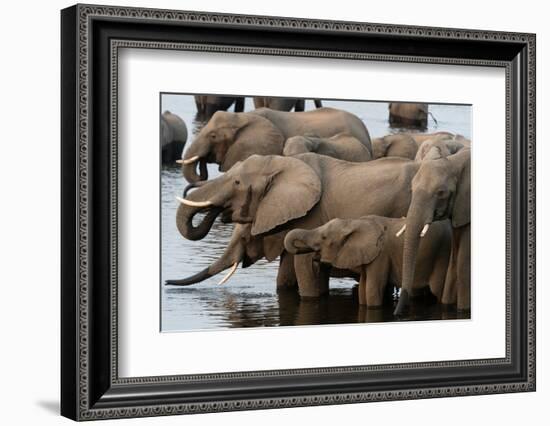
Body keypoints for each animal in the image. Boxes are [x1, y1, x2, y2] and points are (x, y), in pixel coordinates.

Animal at [175, 154, 420, 300]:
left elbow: (305, 269)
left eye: (236, 183)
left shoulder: (312, 215)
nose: (168, 282)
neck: (280, 164)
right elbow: (285, 276)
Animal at [284, 216, 452, 306]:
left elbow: (372, 289)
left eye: (324, 237)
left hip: (442, 255)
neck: (352, 222)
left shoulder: (381, 256)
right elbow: (363, 289)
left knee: (438, 289)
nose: (314, 259)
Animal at [394, 148, 472, 314]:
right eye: (411, 189)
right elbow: (454, 262)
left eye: (441, 193)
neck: (454, 162)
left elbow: (463, 263)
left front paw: (463, 311)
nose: (396, 314)